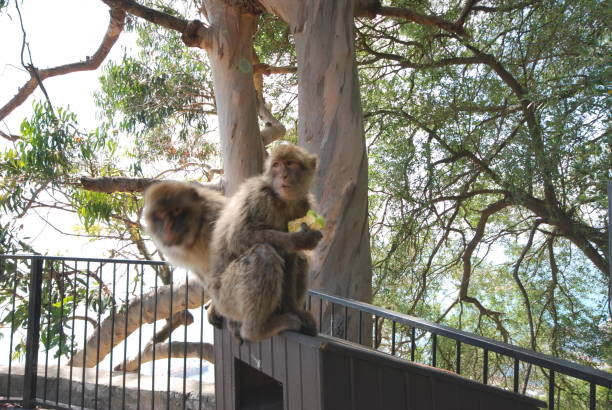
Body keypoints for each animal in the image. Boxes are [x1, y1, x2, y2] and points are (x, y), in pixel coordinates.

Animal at [208, 144, 322, 342]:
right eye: (276, 165)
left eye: (290, 163)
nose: (283, 176)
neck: (283, 200)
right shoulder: (258, 196)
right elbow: (238, 238)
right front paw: (299, 239)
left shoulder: (302, 207)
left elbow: (291, 257)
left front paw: (293, 308)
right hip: (227, 299)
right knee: (264, 254)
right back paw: (256, 329)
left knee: (299, 259)